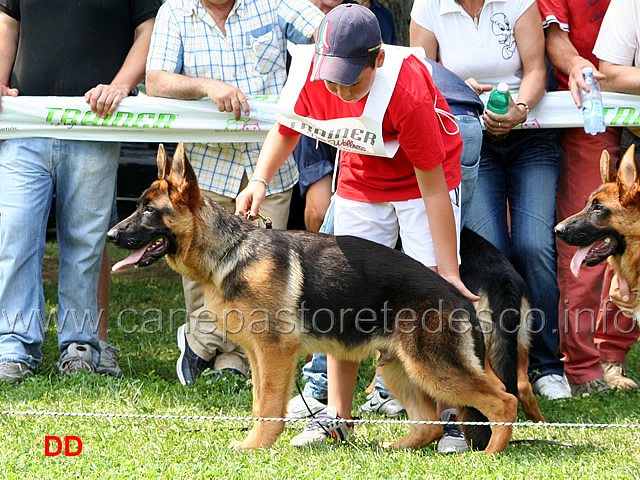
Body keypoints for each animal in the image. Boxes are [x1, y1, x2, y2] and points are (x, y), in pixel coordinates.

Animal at [110, 144, 520, 452]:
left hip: (433, 368)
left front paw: (256, 446)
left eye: (149, 210)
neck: (231, 250)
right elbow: (259, 402)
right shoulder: (259, 356)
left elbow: (269, 403)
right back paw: (399, 447)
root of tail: (459, 297)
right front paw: (257, 441)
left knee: (504, 400)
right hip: (400, 368)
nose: (112, 235)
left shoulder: (275, 353)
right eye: (139, 205)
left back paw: (491, 453)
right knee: (432, 422)